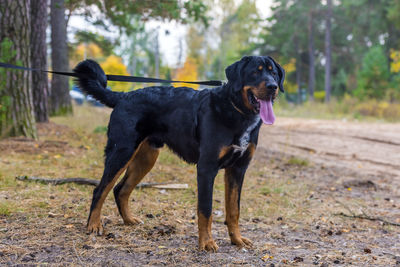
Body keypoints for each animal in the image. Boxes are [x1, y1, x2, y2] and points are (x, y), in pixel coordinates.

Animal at [72, 55, 284, 252]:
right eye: (255, 72)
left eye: (273, 73)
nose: (273, 86)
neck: (236, 112)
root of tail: (123, 96)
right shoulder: (207, 168)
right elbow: (205, 210)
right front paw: (206, 242)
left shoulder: (238, 169)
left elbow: (234, 210)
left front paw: (237, 240)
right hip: (121, 151)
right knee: (100, 190)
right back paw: (93, 225)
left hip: (146, 158)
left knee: (120, 189)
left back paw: (129, 220)